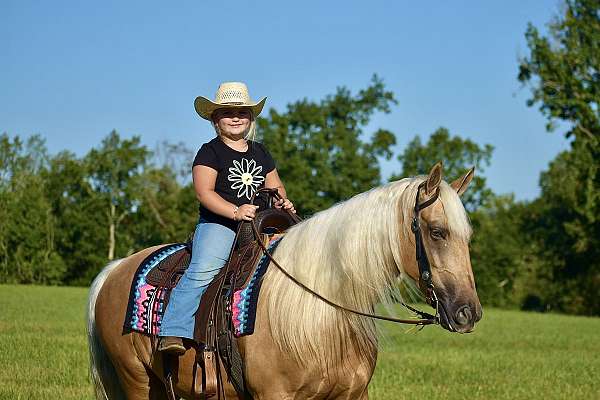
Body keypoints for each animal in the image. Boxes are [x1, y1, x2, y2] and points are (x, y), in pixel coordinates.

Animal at [88, 163, 482, 400]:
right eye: (437, 231)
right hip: (136, 381)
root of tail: (115, 269)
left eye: (467, 236)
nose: (469, 313)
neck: (320, 316)